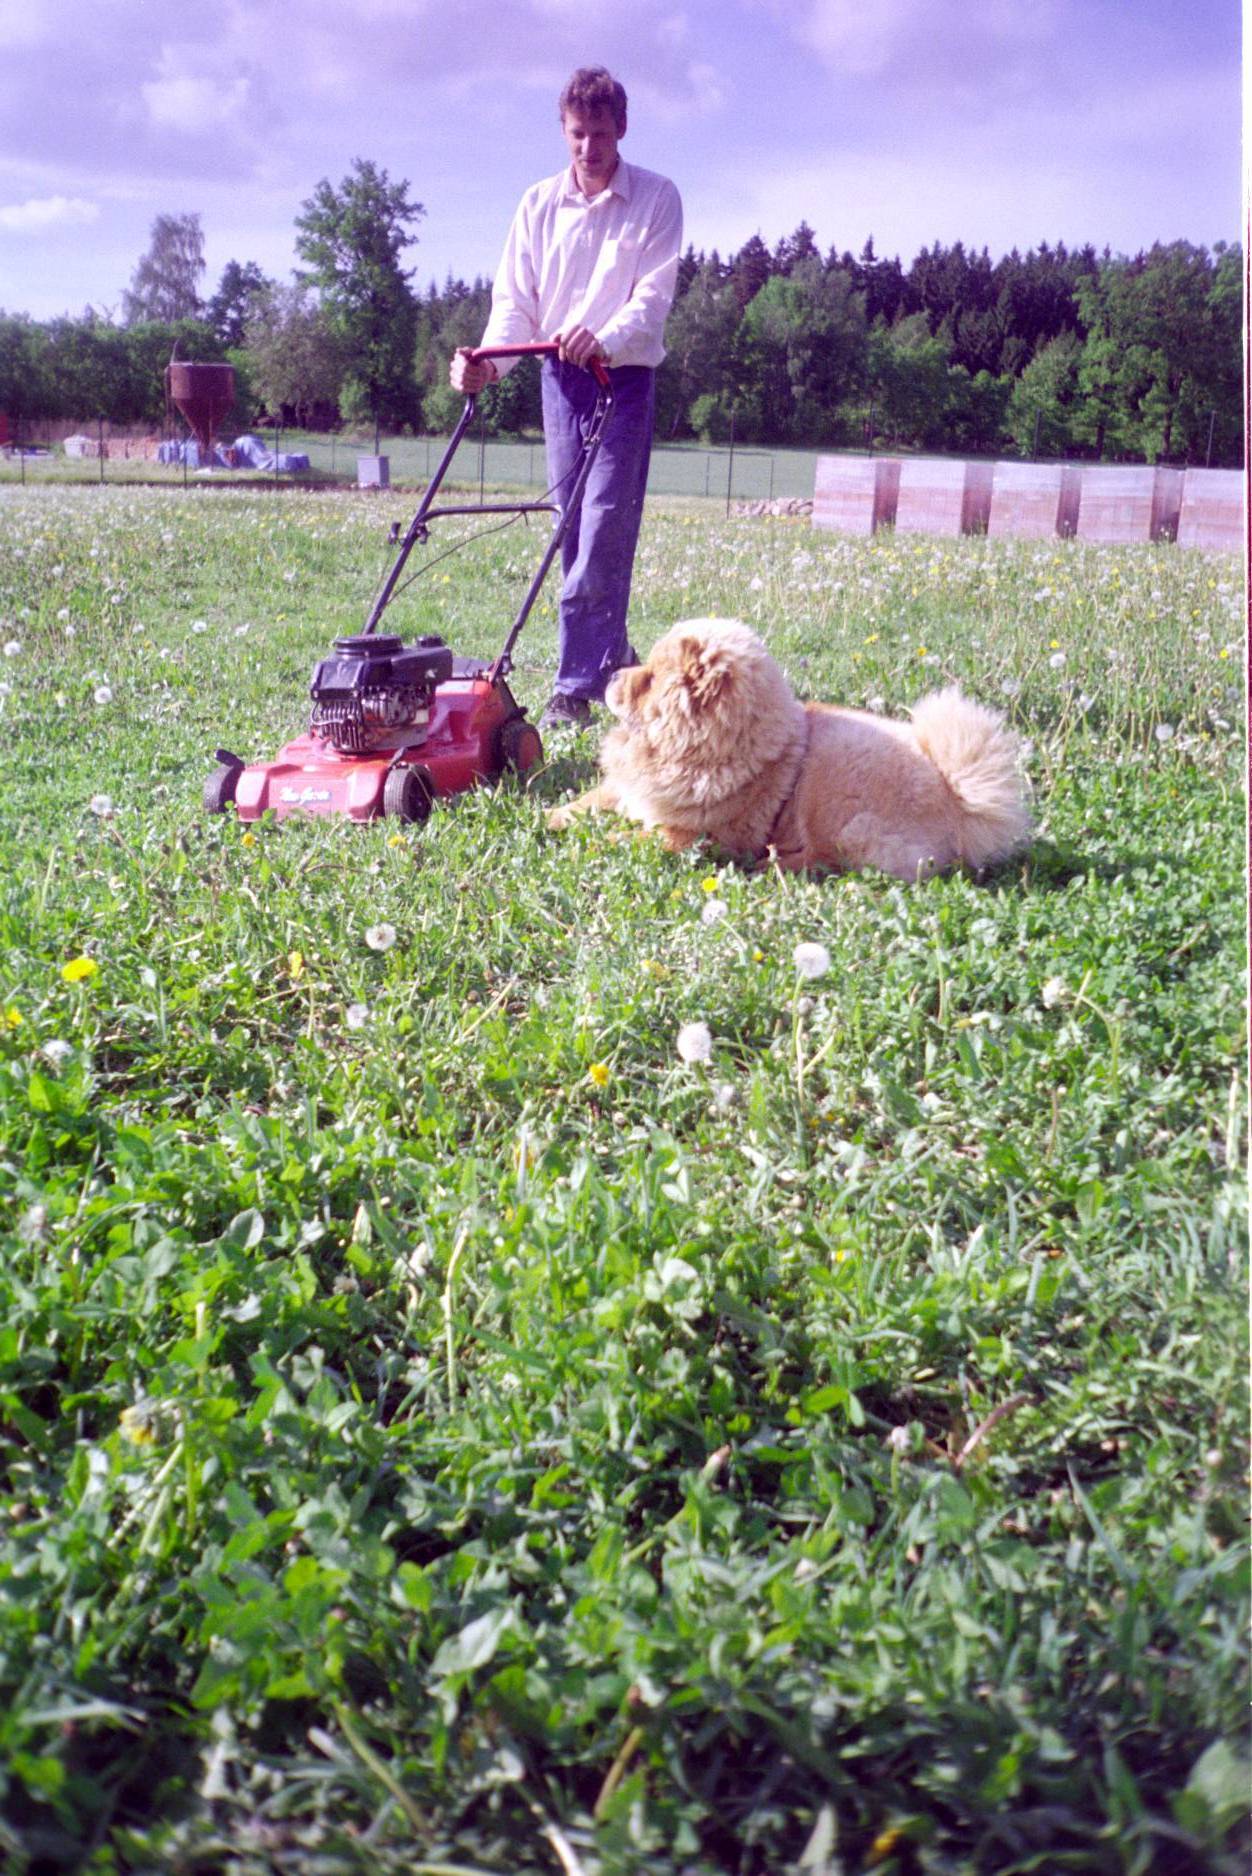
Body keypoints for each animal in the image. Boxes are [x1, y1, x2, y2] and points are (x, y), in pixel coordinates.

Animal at [551, 615, 1036, 877]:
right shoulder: (626, 790)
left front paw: (595, 841)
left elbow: (633, 835)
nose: (612, 675)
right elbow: (588, 801)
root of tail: (960, 800)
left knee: (827, 859)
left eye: (650, 677)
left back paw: (772, 866)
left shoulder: (699, 834)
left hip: (831, 790)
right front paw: (550, 816)